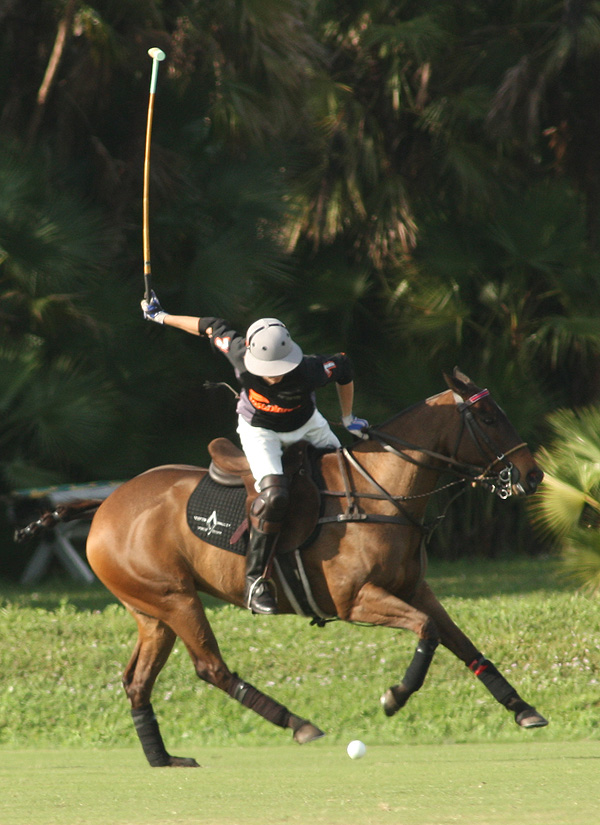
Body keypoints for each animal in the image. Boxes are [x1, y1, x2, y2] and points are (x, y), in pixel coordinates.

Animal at [16, 368, 547, 767]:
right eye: (487, 416)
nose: (533, 473)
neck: (381, 490)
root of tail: (105, 503)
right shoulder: (355, 600)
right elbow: (428, 633)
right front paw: (394, 696)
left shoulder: (417, 589)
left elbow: (462, 642)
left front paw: (524, 711)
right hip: (175, 598)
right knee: (210, 667)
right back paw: (298, 724)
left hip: (151, 612)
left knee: (137, 680)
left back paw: (163, 759)